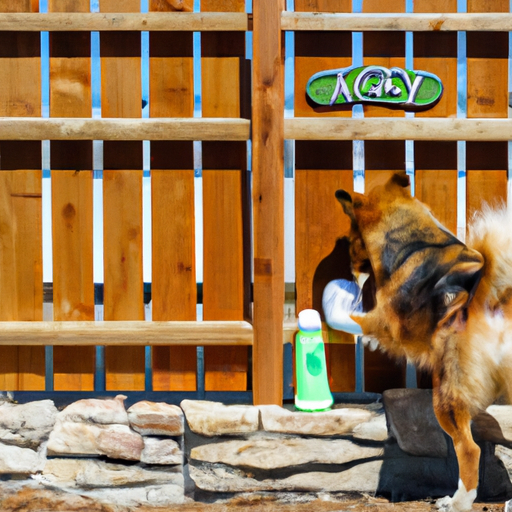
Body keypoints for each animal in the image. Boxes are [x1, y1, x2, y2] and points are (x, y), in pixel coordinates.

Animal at [336, 172, 512, 512]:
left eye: (350, 240)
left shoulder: (385, 318)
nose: (349, 270)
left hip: (445, 396)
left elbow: (354, 318)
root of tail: (490, 301)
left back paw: (457, 501)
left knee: (469, 450)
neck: (412, 241)